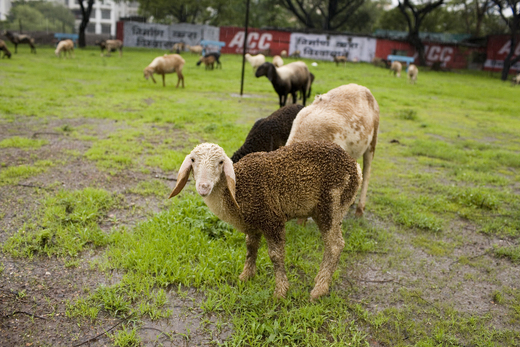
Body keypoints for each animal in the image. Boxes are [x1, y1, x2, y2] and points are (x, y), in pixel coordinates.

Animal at [170, 141, 362, 302]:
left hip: (332, 205)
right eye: (193, 160)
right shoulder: (253, 225)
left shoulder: (272, 219)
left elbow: (276, 255)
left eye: (220, 163)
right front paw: (246, 276)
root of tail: (354, 166)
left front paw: (280, 292)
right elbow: (250, 248)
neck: (238, 190)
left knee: (335, 245)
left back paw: (319, 289)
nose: (203, 187)